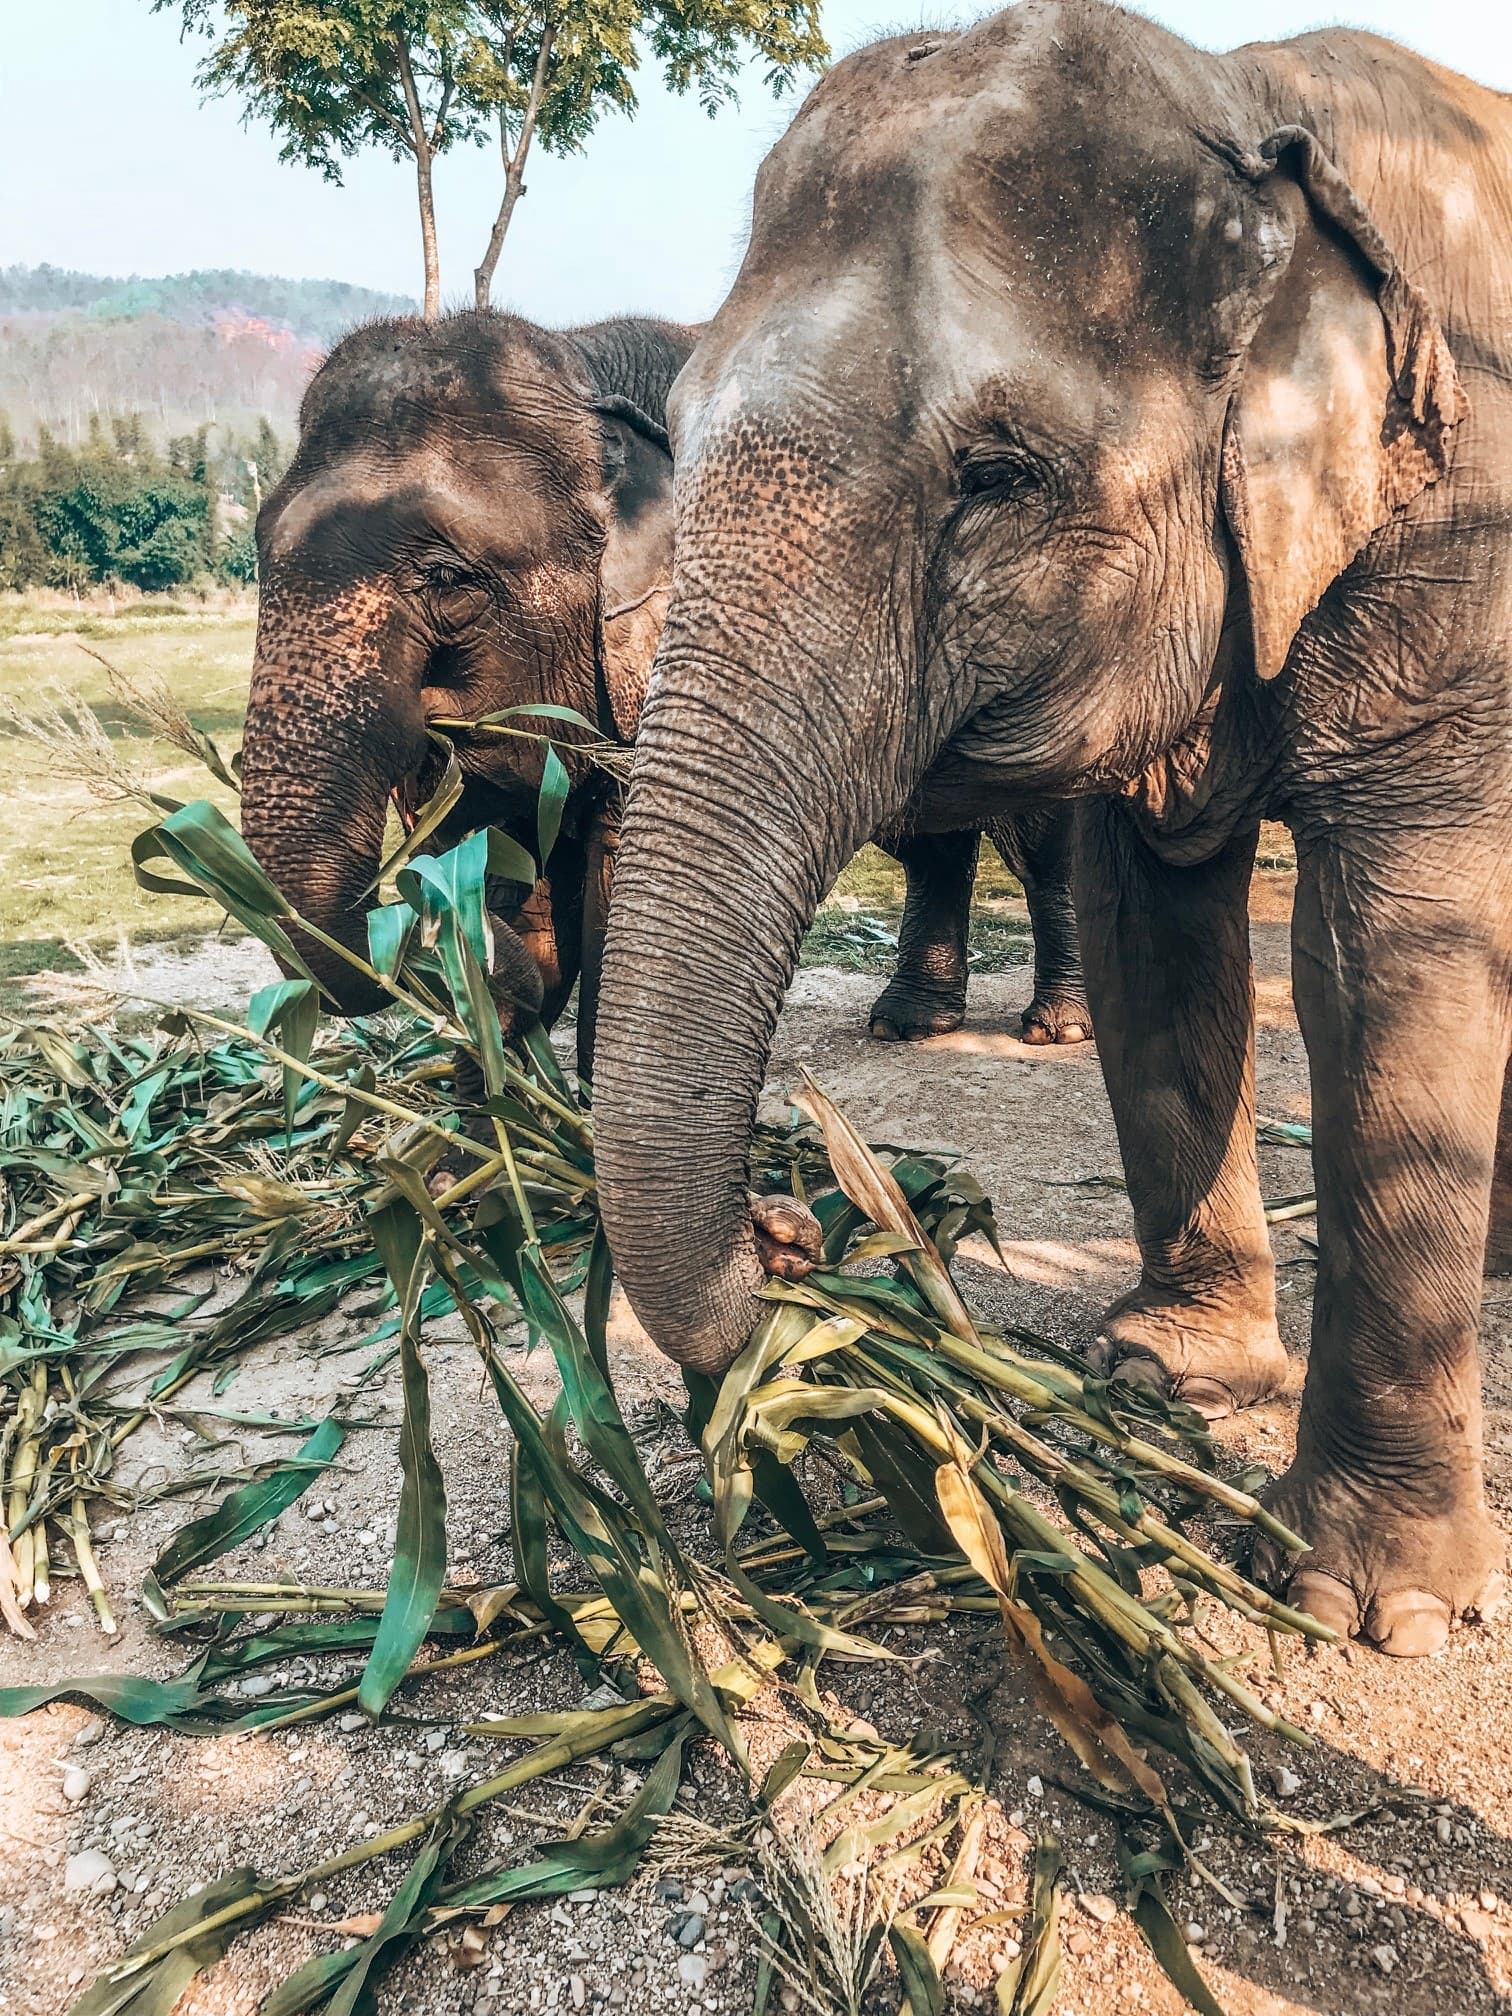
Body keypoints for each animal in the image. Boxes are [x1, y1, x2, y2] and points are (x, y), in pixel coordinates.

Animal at [238, 309, 1087, 1074]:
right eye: (257, 555)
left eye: (447, 578)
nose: (417, 897)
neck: (584, 364)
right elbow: (517, 850)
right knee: (927, 841)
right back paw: (908, 1025)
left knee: (1047, 844)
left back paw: (1057, 1030)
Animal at [593, 0, 1512, 1657]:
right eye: (674, 438)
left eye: (997, 475)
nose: (791, 1226)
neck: (1250, 110)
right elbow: (1160, 927)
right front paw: (1164, 1375)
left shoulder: (1458, 542)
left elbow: (1394, 957)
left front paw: (1374, 1605)